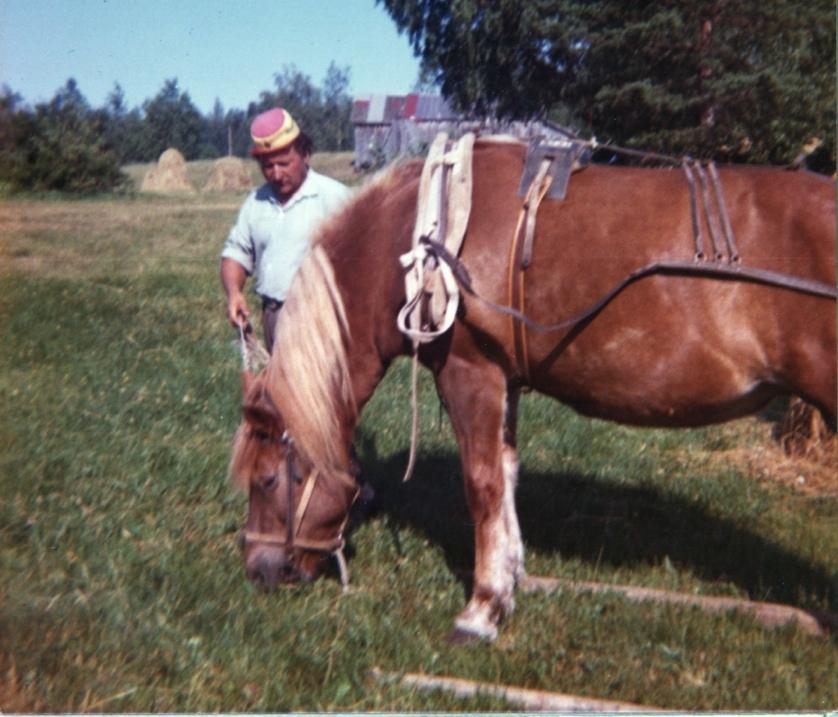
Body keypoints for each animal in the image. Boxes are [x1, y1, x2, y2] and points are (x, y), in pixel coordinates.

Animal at [226, 137, 836, 640]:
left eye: (269, 479)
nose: (258, 570)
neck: (421, 238)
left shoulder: (471, 374)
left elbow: (483, 484)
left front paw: (482, 606)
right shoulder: (506, 380)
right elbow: (507, 474)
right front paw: (510, 577)